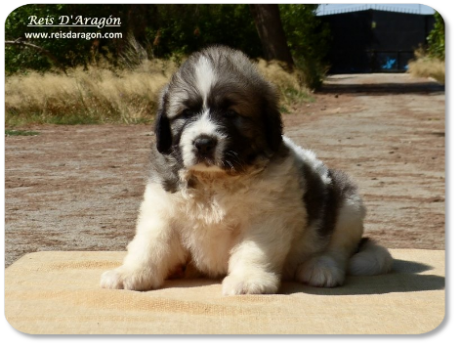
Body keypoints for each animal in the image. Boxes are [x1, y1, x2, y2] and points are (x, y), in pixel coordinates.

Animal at [100, 46, 392, 294]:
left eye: (231, 113)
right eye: (186, 113)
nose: (203, 142)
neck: (213, 181)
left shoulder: (265, 217)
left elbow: (253, 249)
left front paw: (249, 280)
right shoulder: (162, 210)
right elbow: (150, 244)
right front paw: (130, 273)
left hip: (348, 204)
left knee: (338, 247)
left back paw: (322, 267)